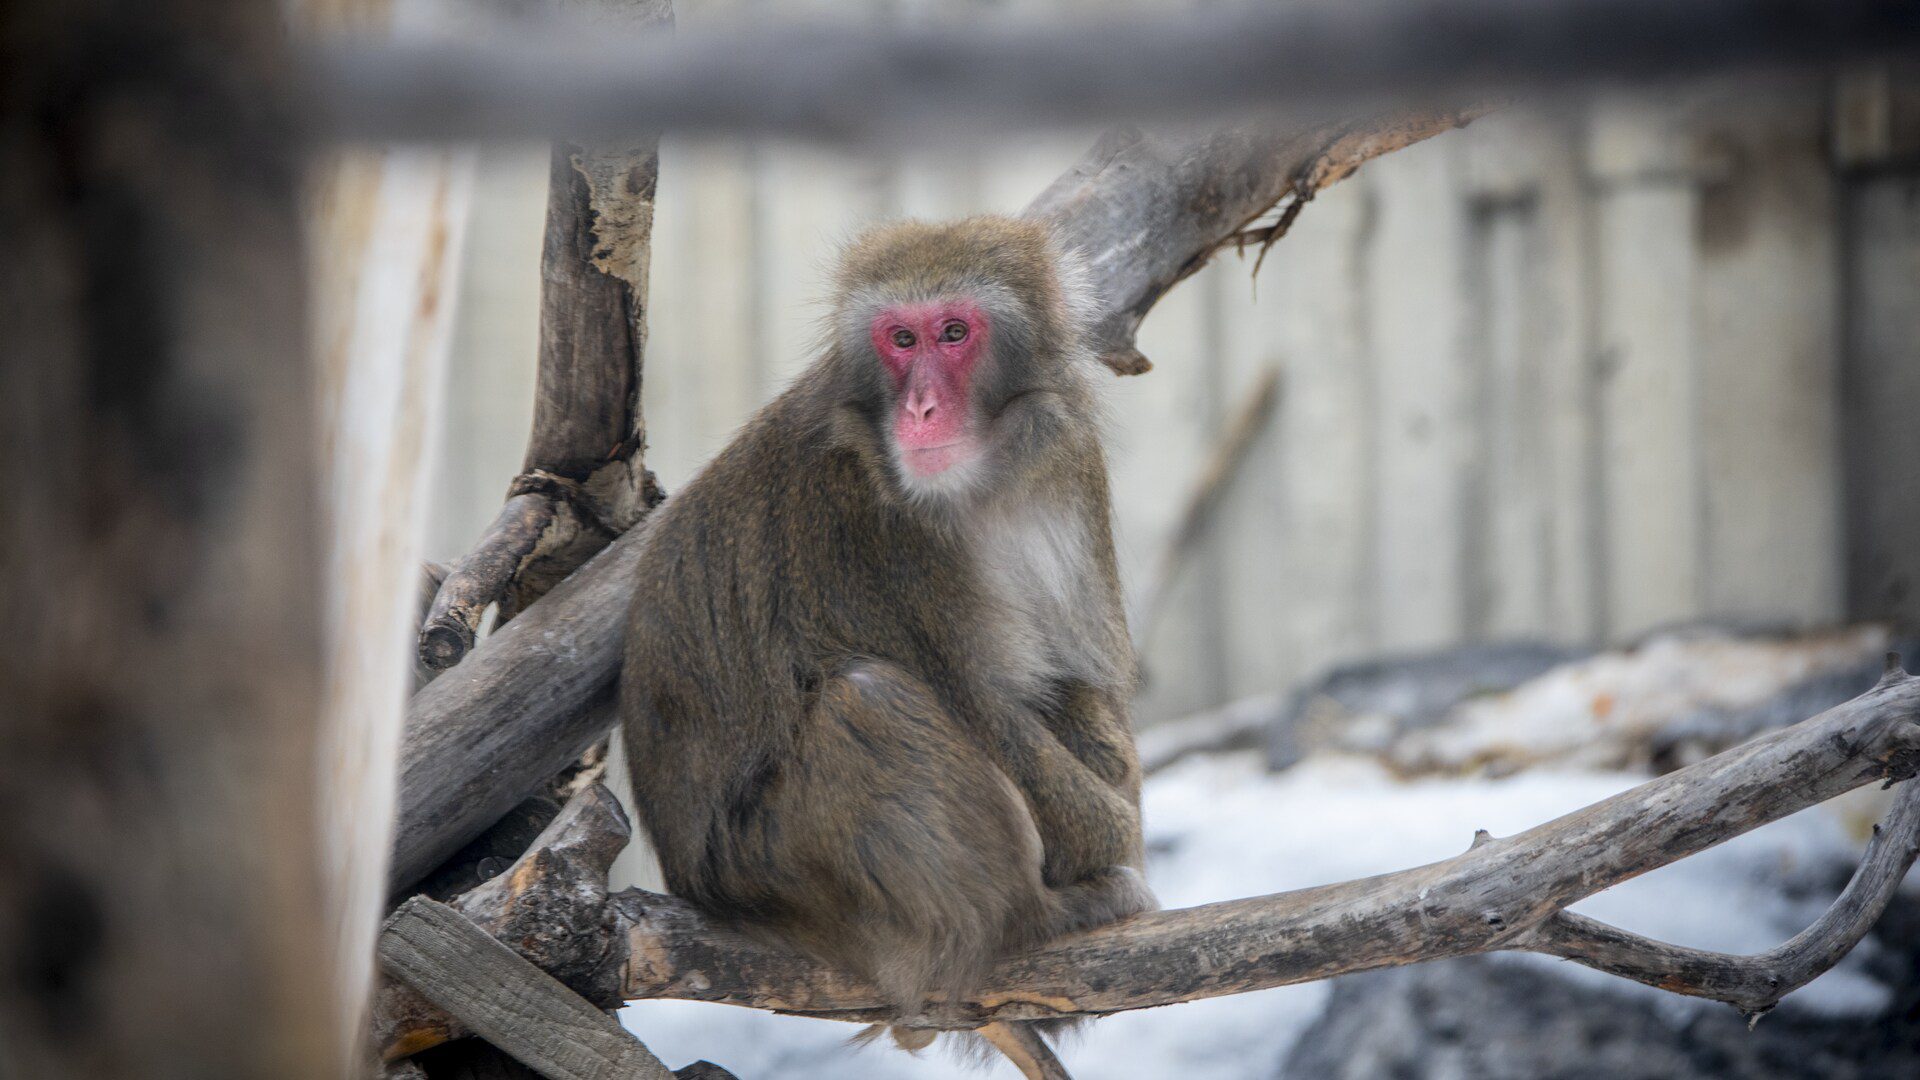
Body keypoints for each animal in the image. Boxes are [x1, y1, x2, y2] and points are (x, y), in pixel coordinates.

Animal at [619, 215, 1154, 1077]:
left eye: (953, 332)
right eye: (901, 339)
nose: (923, 408)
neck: (983, 484)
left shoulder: (1069, 462)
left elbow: (1083, 689)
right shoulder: (875, 531)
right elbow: (991, 719)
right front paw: (1114, 850)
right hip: (780, 876)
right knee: (867, 702)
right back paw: (1040, 920)